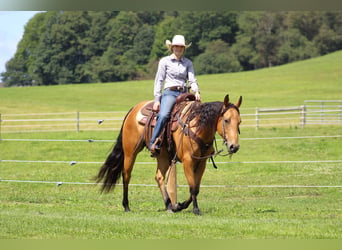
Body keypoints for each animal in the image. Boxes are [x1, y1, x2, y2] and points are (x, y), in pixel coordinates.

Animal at [95, 94, 242, 215]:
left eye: (239, 121)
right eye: (226, 120)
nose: (234, 146)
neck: (196, 126)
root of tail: (134, 109)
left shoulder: (201, 162)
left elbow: (196, 187)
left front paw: (179, 205)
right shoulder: (188, 161)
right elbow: (193, 187)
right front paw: (195, 209)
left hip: (163, 156)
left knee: (159, 177)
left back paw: (169, 205)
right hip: (130, 152)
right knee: (126, 175)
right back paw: (126, 206)